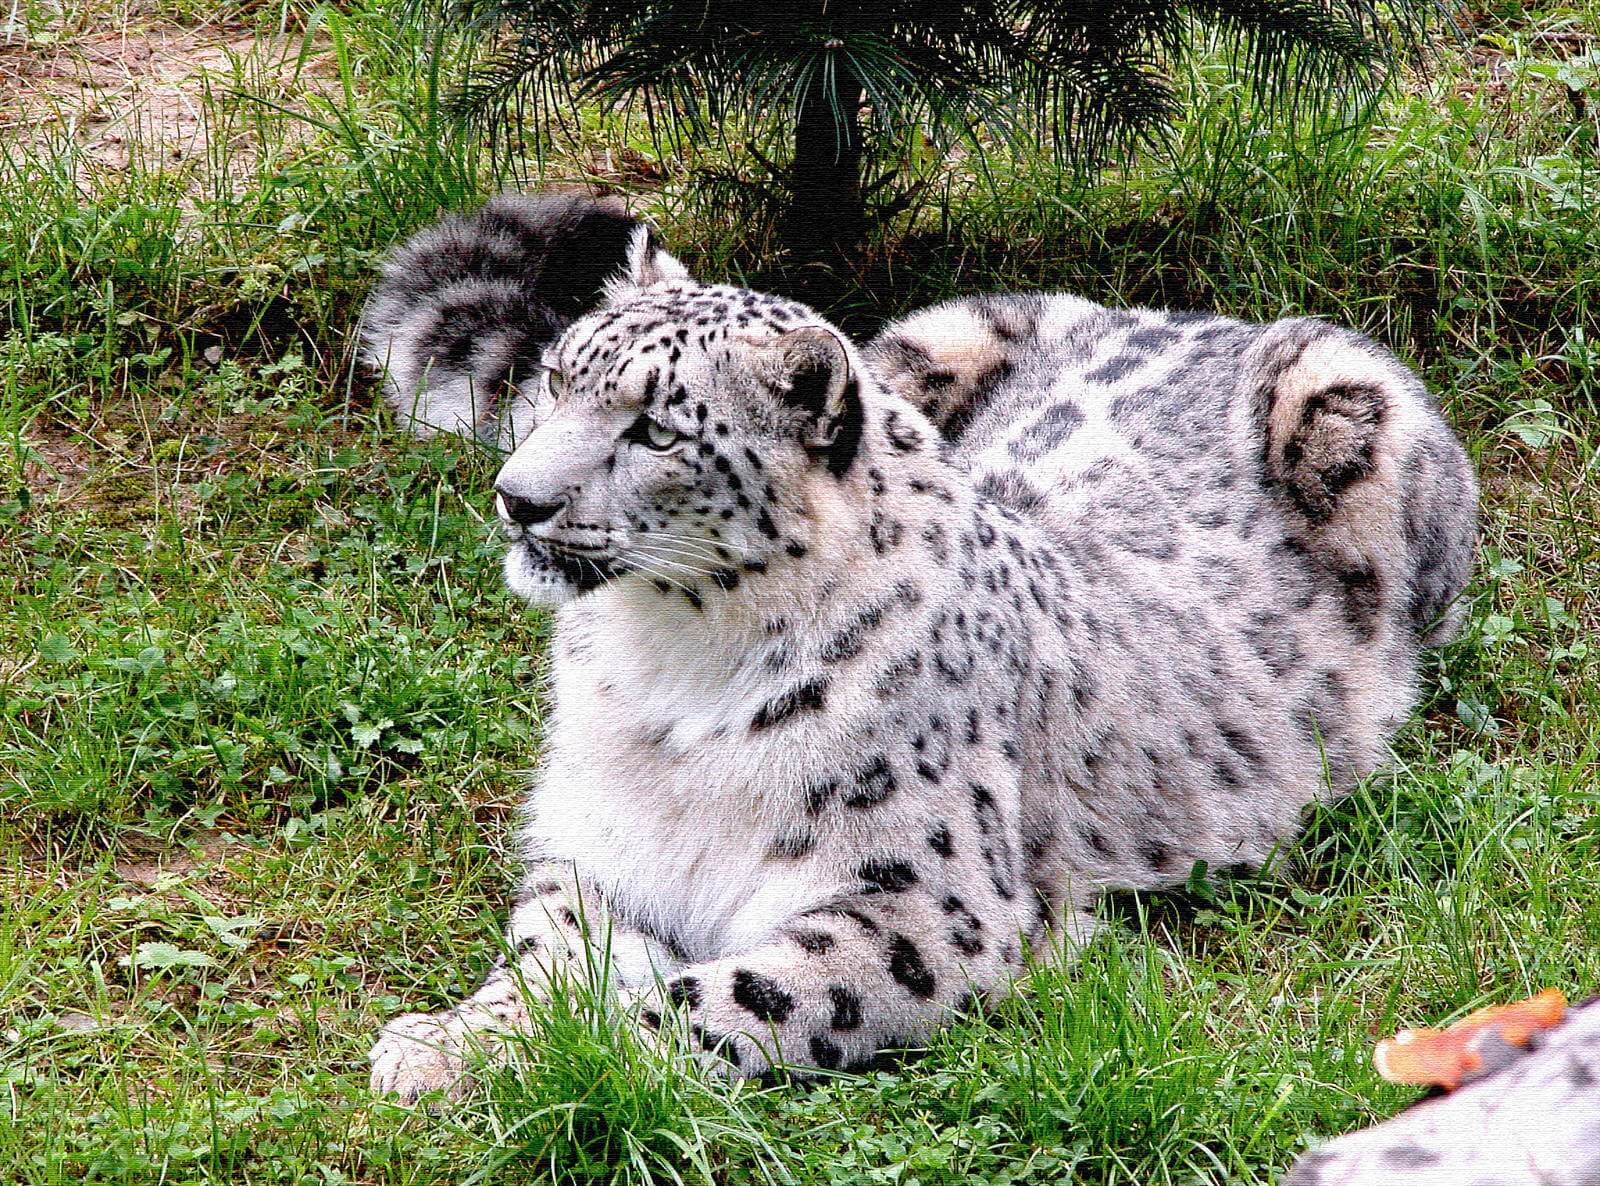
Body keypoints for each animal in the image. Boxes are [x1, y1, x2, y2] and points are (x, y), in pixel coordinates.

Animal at [363, 228, 1472, 1101]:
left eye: (657, 429)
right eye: (559, 378)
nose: (518, 497)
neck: (666, 668)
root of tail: (1197, 313)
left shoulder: (918, 906)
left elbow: (717, 995)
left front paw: (532, 1060)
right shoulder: (606, 852)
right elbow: (548, 955)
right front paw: (448, 1044)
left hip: (1356, 411)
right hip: (931, 333)